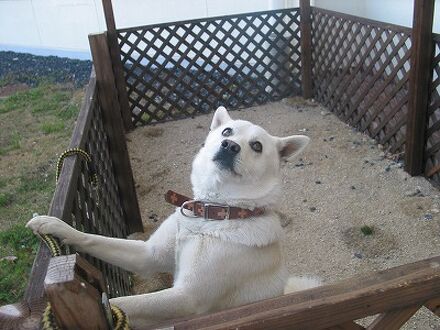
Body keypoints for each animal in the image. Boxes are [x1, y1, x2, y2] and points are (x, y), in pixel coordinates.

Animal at [26, 107, 320, 328]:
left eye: (257, 146)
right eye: (227, 131)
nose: (229, 145)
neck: (212, 212)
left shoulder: (187, 297)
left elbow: (124, 303)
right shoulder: (148, 255)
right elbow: (93, 239)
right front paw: (55, 226)